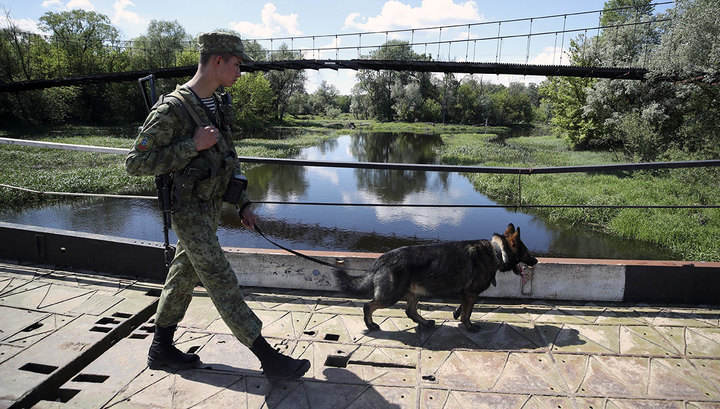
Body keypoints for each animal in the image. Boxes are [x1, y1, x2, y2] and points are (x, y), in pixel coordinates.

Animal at [334, 223, 536, 332]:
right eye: (526, 251)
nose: (536, 261)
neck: (498, 251)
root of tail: (383, 258)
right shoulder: (471, 292)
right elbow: (468, 312)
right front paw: (468, 326)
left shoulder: (466, 292)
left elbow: (464, 307)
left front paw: (457, 314)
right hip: (391, 295)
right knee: (368, 306)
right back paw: (371, 325)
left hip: (414, 292)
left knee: (410, 312)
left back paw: (426, 323)